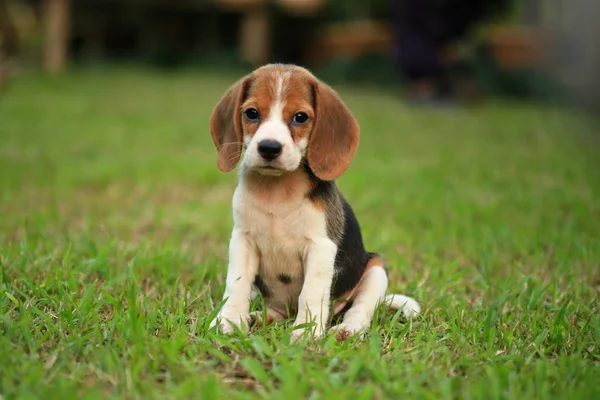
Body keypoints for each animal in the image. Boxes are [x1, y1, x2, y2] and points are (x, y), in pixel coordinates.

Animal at [209, 64, 420, 340]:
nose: (269, 147)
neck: (277, 191)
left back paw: (347, 329)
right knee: (278, 312)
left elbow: (310, 294)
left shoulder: (321, 247)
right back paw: (259, 317)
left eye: (300, 117)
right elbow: (237, 284)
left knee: (360, 308)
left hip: (375, 269)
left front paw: (305, 334)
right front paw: (229, 321)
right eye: (252, 113)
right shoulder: (242, 240)